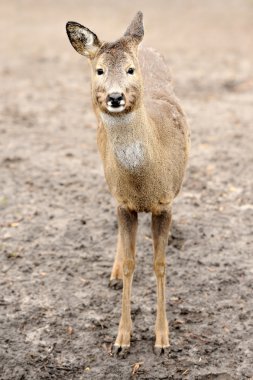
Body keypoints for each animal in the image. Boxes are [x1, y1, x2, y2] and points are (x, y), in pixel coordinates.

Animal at [66, 12, 189, 356]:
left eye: (131, 69)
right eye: (100, 70)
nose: (115, 97)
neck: (143, 183)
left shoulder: (165, 203)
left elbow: (160, 264)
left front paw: (162, 340)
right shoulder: (123, 202)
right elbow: (134, 262)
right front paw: (121, 339)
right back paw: (115, 273)